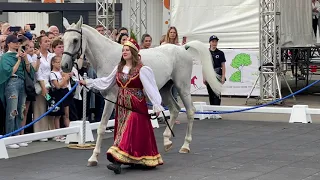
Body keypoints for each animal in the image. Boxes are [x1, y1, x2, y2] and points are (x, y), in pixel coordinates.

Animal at [61, 16, 221, 166]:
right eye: (63, 39)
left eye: (75, 40)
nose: (64, 66)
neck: (106, 57)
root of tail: (182, 48)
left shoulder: (111, 98)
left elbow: (102, 127)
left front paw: (94, 157)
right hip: (163, 89)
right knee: (175, 109)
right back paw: (167, 142)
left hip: (183, 87)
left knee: (190, 111)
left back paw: (185, 146)